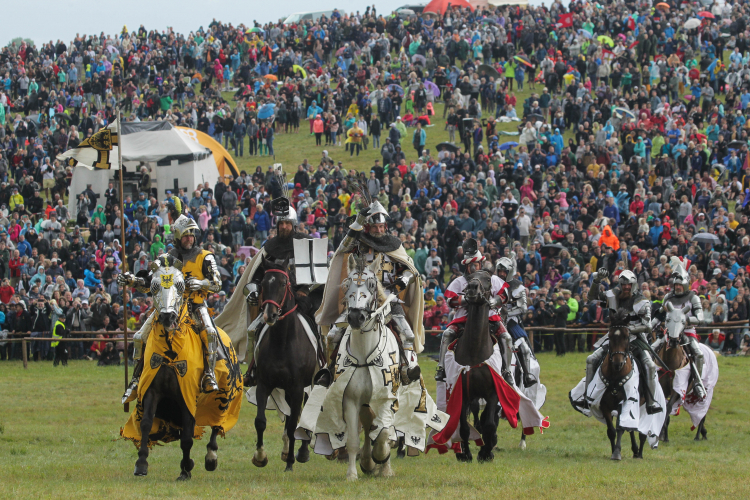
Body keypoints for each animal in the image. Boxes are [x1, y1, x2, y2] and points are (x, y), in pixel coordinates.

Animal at [604, 324, 648, 460]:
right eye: (610, 337)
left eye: (626, 337)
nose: (618, 363)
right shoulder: (604, 407)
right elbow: (611, 431)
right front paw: (613, 450)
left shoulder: (624, 404)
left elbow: (621, 428)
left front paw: (617, 452)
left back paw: (639, 452)